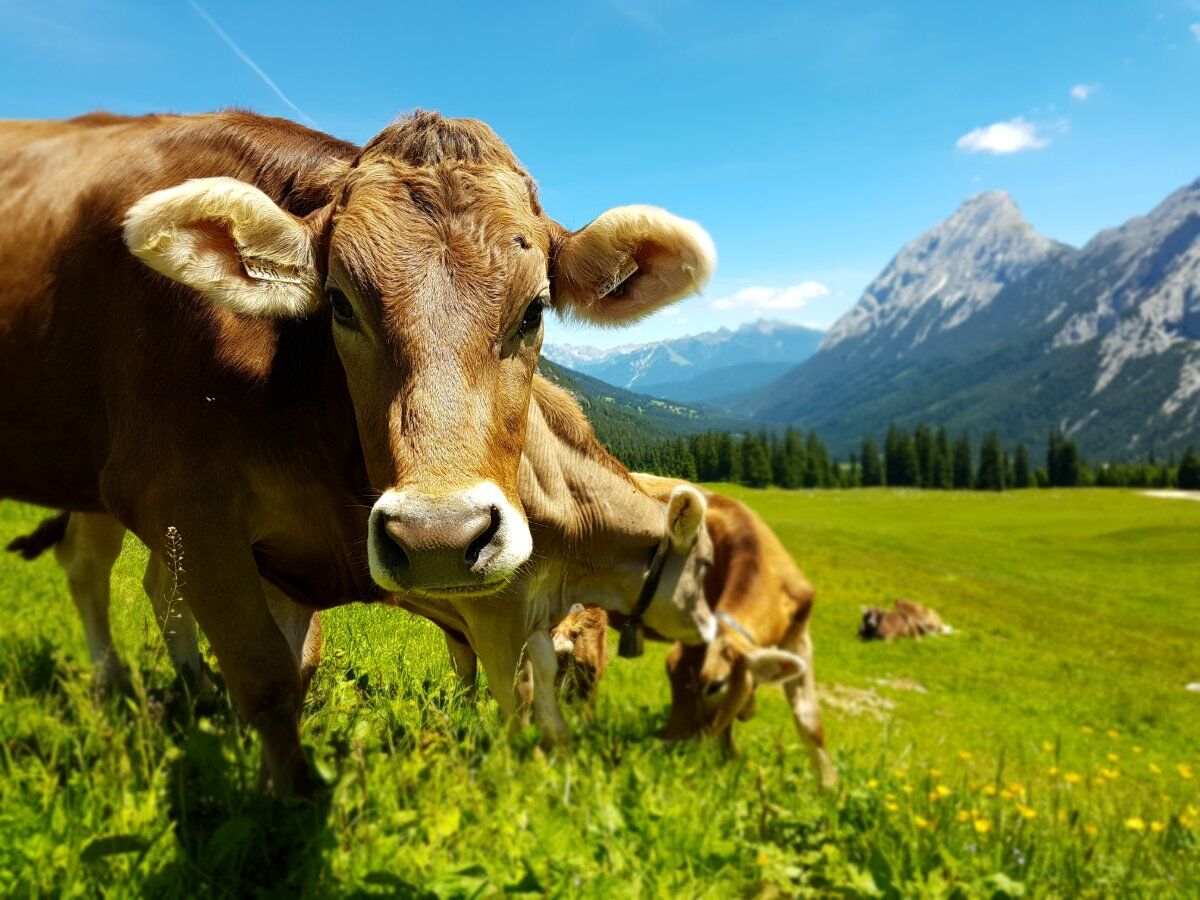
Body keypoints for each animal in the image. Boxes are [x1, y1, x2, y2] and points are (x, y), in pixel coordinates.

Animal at [0, 111, 710, 787]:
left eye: (535, 309)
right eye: (339, 304)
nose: (438, 538)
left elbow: (303, 666)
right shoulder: (182, 504)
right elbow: (267, 679)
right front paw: (288, 800)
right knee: (89, 567)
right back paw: (117, 687)